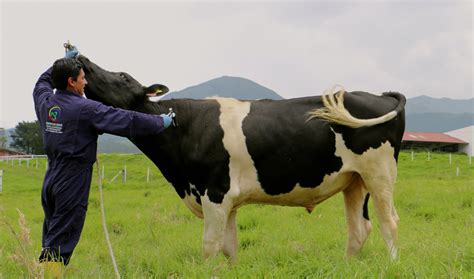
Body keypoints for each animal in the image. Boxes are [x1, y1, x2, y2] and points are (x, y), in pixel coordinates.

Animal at [78, 55, 408, 262]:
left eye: (122, 76)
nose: (82, 60)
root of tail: (379, 95)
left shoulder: (215, 193)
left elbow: (210, 247)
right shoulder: (228, 201)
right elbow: (230, 248)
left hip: (379, 172)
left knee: (389, 222)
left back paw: (390, 265)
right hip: (354, 181)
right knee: (359, 228)